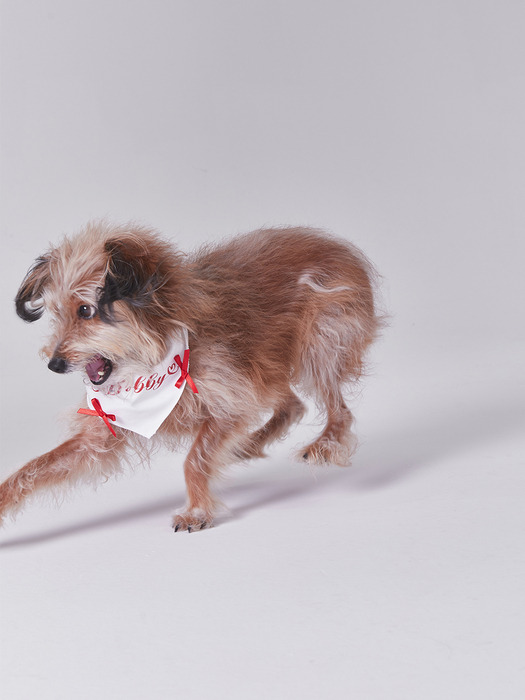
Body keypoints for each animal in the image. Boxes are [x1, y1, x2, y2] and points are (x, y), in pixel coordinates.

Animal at [0, 223, 380, 532]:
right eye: (57, 314)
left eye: (86, 311)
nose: (54, 364)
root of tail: (335, 244)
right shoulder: (100, 434)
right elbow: (32, 468)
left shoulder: (229, 402)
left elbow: (194, 460)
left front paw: (196, 510)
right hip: (265, 369)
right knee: (293, 404)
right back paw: (249, 444)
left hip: (319, 345)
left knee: (337, 408)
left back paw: (326, 443)